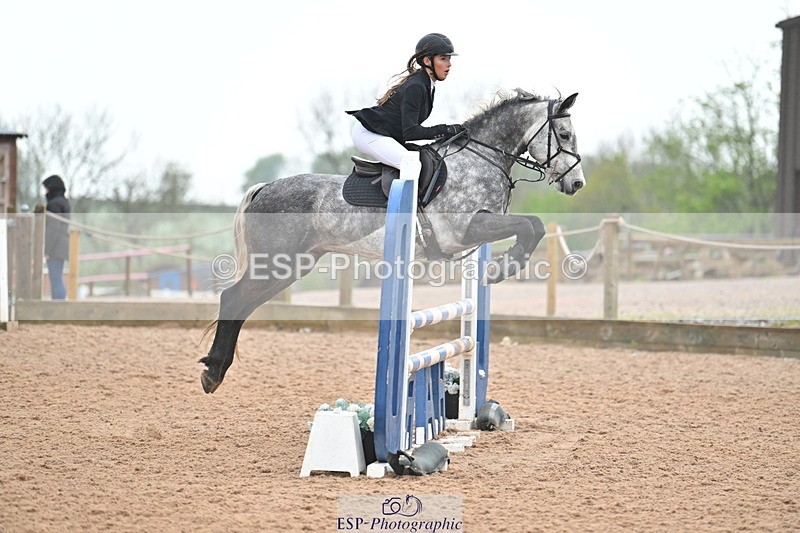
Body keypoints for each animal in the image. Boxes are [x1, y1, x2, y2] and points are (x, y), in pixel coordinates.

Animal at [199, 89, 586, 394]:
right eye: (564, 134)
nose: (577, 183)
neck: (481, 158)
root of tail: (264, 187)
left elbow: (532, 225)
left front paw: (501, 267)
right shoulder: (465, 230)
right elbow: (531, 225)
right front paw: (504, 267)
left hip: (292, 265)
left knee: (243, 305)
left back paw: (216, 371)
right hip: (275, 262)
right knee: (233, 299)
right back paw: (213, 372)